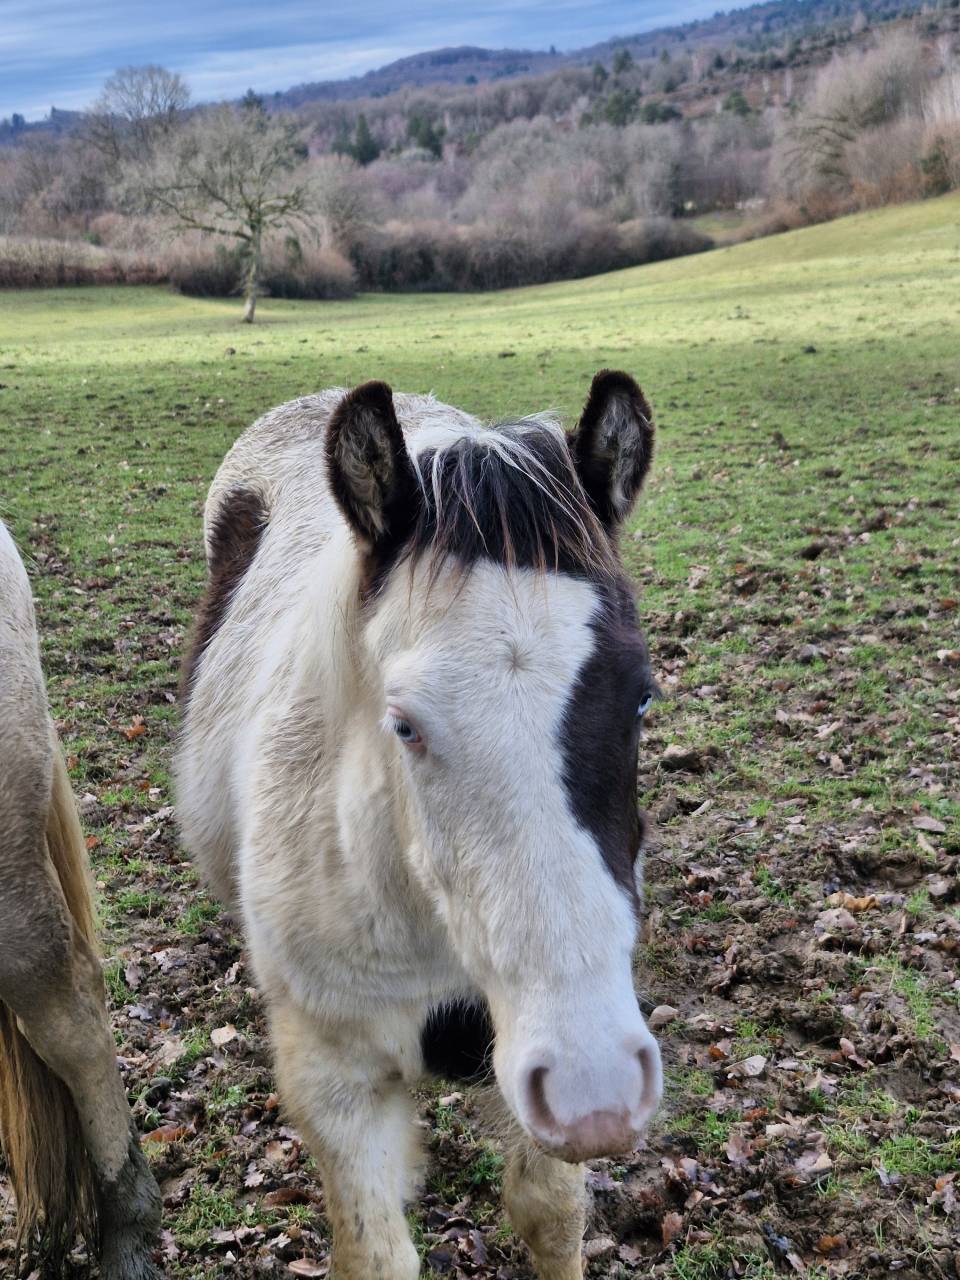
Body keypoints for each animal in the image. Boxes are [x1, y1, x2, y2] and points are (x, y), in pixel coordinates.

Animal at [175, 369, 663, 1280]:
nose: (597, 1090)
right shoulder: (335, 1077)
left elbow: (550, 1214)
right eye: (402, 723)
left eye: (642, 697)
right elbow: (376, 1251)